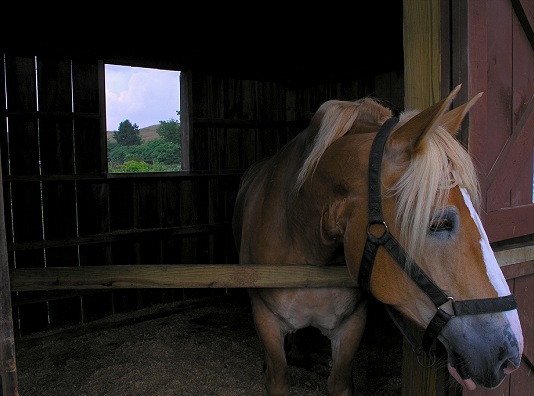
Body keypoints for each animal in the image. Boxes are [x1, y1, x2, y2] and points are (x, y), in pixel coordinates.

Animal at [232, 86, 524, 396]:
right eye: (438, 223)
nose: (511, 353)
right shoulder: (266, 321)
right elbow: (278, 377)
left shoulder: (351, 326)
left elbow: (338, 382)